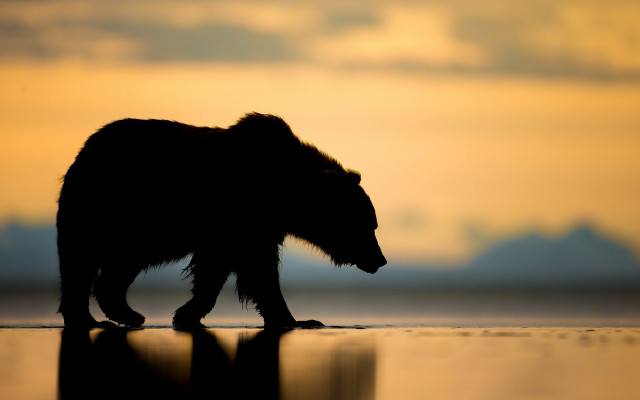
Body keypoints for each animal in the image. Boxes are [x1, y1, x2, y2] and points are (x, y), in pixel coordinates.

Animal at [57, 113, 387, 329]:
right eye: (367, 225)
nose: (380, 260)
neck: (283, 192)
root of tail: (85, 148)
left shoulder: (252, 227)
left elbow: (224, 269)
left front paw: (186, 314)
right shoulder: (239, 216)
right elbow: (254, 270)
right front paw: (299, 319)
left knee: (116, 267)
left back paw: (125, 313)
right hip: (105, 209)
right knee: (80, 262)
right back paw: (91, 318)